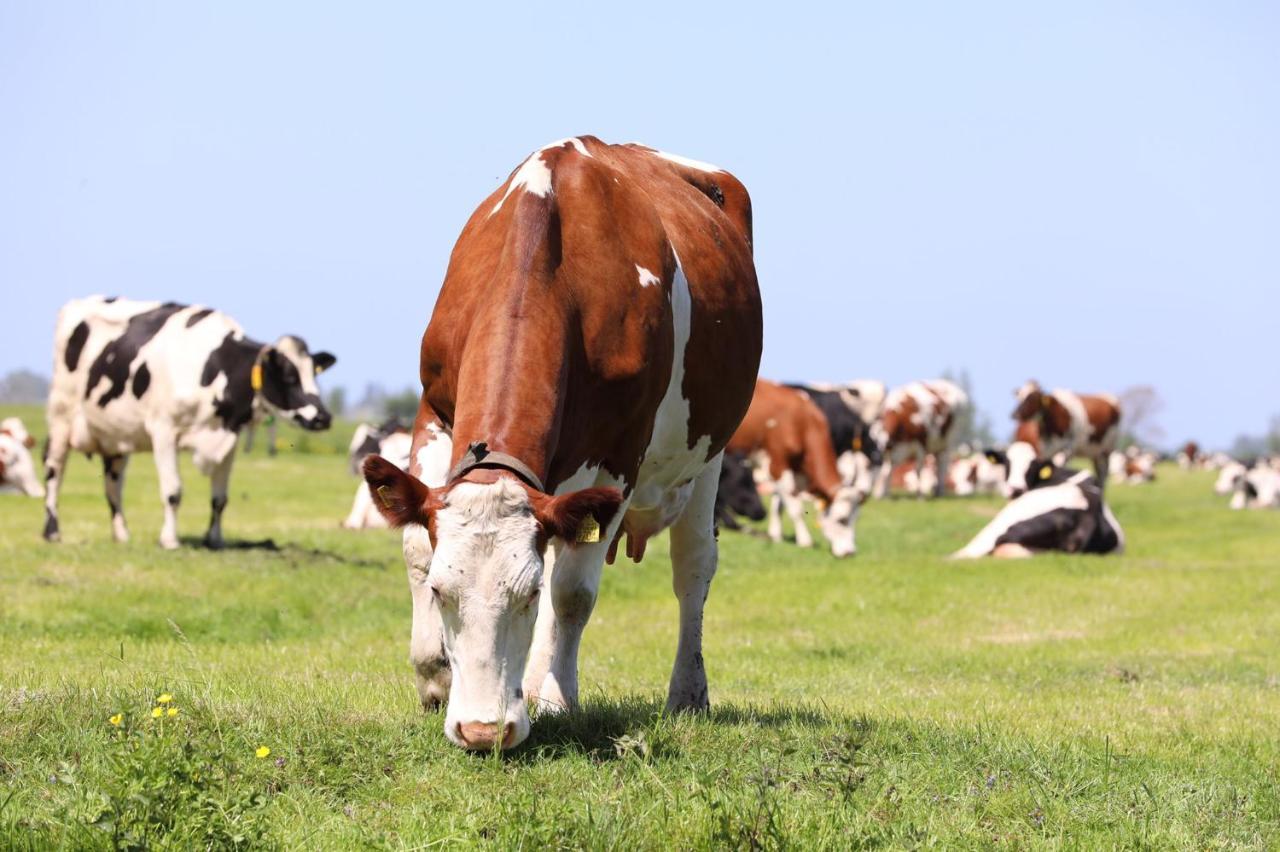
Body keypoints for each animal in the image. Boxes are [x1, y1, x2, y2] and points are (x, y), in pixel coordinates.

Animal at [45, 294, 337, 544]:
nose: (323, 417)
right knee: (54, 470)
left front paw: (215, 540)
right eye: (289, 376)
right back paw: (52, 532)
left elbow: (220, 498)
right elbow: (172, 491)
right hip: (61, 414)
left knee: (113, 484)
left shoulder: (229, 439)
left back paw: (121, 534)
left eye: (314, 374)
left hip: (115, 434)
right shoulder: (163, 430)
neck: (213, 365)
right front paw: (169, 540)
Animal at [355, 136, 762, 747]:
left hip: (710, 451)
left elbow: (570, 592)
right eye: (443, 595)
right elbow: (416, 548)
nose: (482, 731)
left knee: (693, 568)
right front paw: (433, 677)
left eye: (522, 595)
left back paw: (686, 695)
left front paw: (552, 698)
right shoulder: (434, 410)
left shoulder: (620, 454)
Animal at [727, 378, 865, 555]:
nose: (850, 553)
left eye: (857, 519)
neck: (802, 420)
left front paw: (776, 535)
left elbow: (779, 504)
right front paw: (804, 541)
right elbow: (795, 508)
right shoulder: (777, 464)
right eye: (842, 520)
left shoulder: (792, 469)